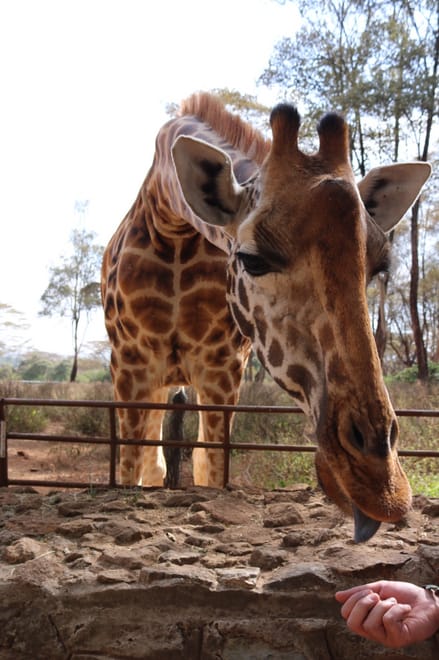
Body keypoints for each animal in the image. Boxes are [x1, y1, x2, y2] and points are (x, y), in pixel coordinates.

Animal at [102, 92, 430, 541]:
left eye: (379, 266)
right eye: (252, 260)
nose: (382, 487)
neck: (174, 226)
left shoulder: (222, 371)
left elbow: (209, 469)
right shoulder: (132, 366)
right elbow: (132, 468)